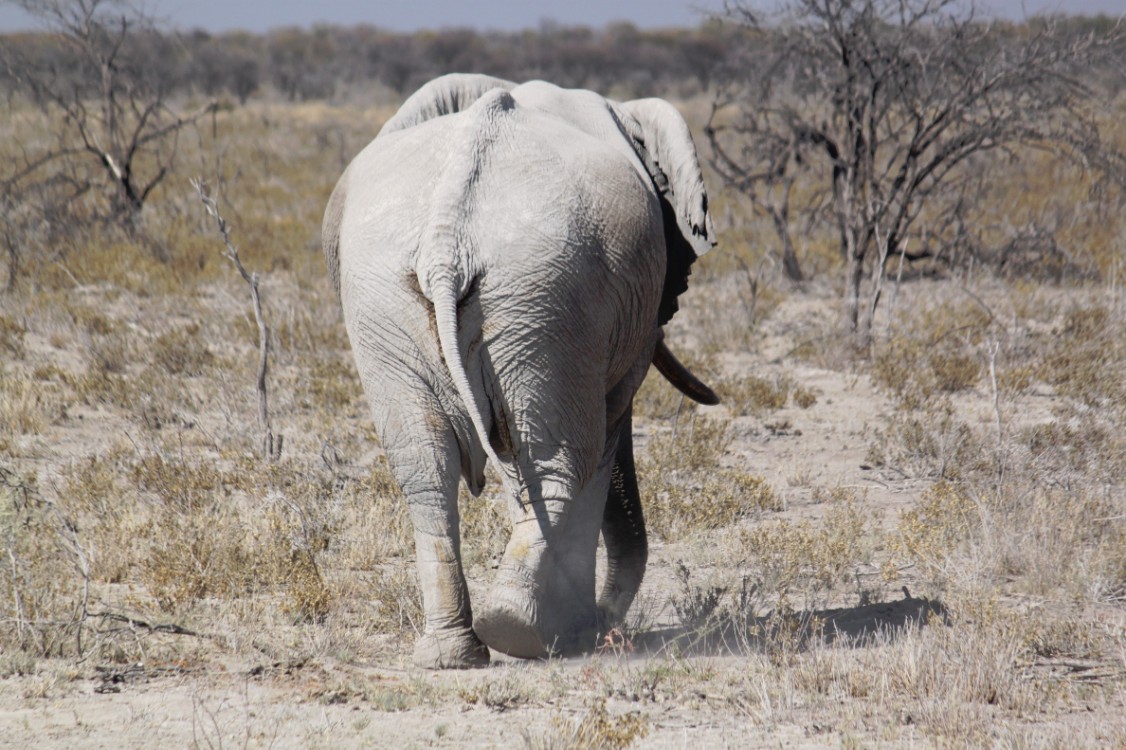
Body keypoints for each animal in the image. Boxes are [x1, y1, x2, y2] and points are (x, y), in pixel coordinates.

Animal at [322, 74, 716, 666]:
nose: (608, 623)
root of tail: (447, 243)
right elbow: (608, 435)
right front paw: (578, 630)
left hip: (410, 300)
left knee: (428, 466)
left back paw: (458, 652)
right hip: (547, 294)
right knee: (556, 458)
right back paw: (523, 632)